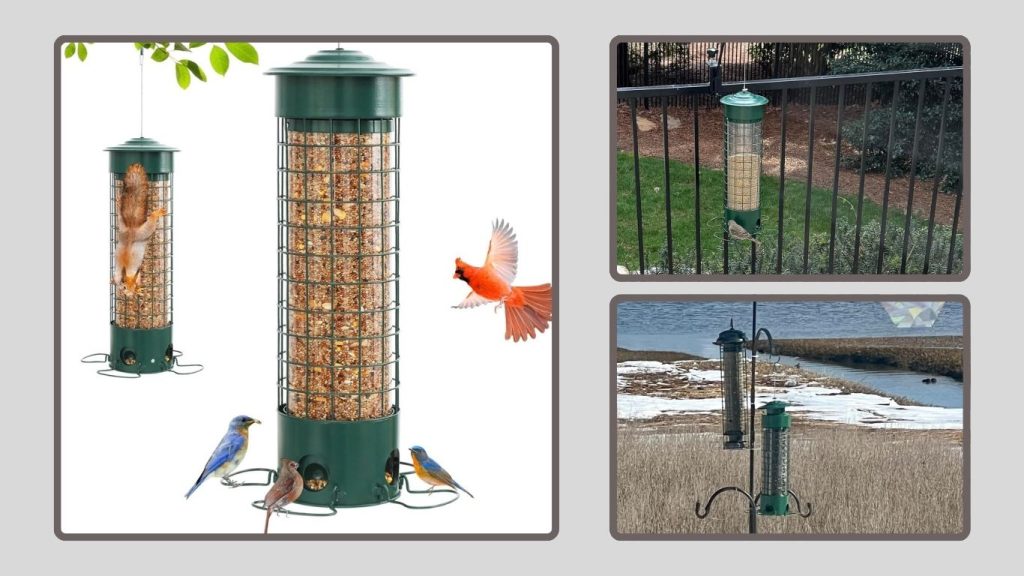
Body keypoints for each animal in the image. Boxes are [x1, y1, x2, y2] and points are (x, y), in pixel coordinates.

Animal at [113, 163, 167, 297]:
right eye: (122, 288)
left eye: (126, 287)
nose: (128, 296)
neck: (123, 272)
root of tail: (131, 228)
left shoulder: (133, 273)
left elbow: (137, 278)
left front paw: (138, 289)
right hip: (122, 227)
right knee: (120, 217)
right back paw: (118, 203)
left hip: (144, 232)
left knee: (150, 224)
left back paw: (156, 214)